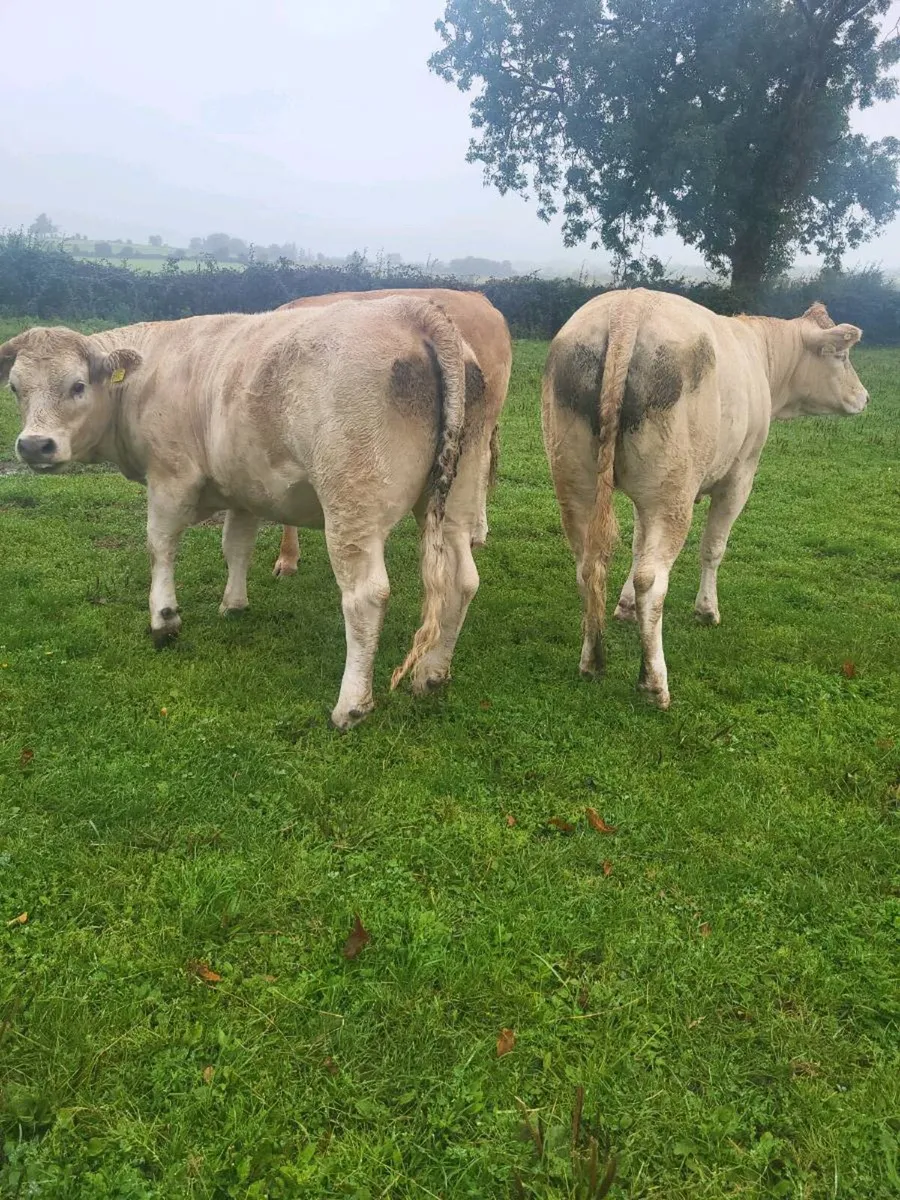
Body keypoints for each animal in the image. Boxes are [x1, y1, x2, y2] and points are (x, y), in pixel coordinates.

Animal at [1, 297, 491, 729]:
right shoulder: (244, 488)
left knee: (366, 596)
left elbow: (160, 547)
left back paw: (351, 706)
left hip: (352, 507)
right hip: (457, 501)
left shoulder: (170, 478)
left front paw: (164, 619)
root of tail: (415, 311)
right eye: (15, 388)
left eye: (77, 385)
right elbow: (236, 546)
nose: (34, 446)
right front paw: (233, 605)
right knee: (462, 580)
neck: (147, 376)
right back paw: (432, 675)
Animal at [541, 288, 868, 709]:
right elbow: (713, 548)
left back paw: (592, 662)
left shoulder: (643, 497)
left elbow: (637, 546)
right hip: (673, 490)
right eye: (842, 356)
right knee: (652, 579)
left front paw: (625, 607)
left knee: (589, 564)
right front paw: (707, 611)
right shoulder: (741, 475)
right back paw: (654, 683)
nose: (864, 397)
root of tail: (629, 306)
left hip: (577, 479)